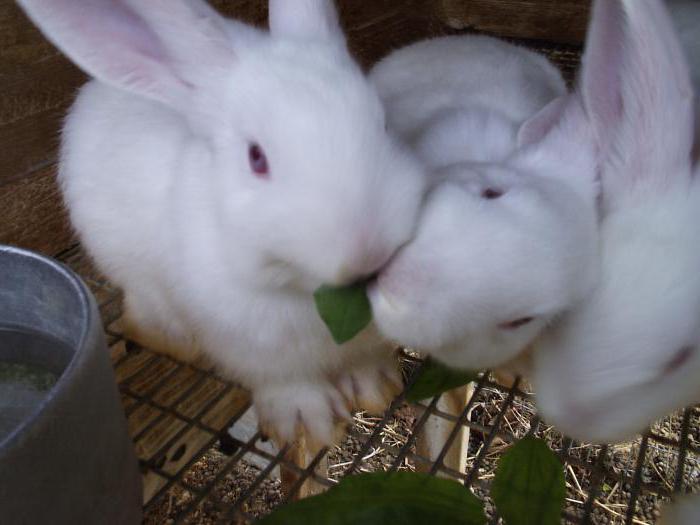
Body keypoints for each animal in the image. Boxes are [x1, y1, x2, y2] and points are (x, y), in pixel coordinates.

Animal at [17, 0, 426, 446]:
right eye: (256, 158)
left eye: (383, 124)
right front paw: (307, 425)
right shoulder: (254, 349)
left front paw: (377, 389)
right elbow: (288, 383)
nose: (368, 251)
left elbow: (365, 362)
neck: (298, 291)